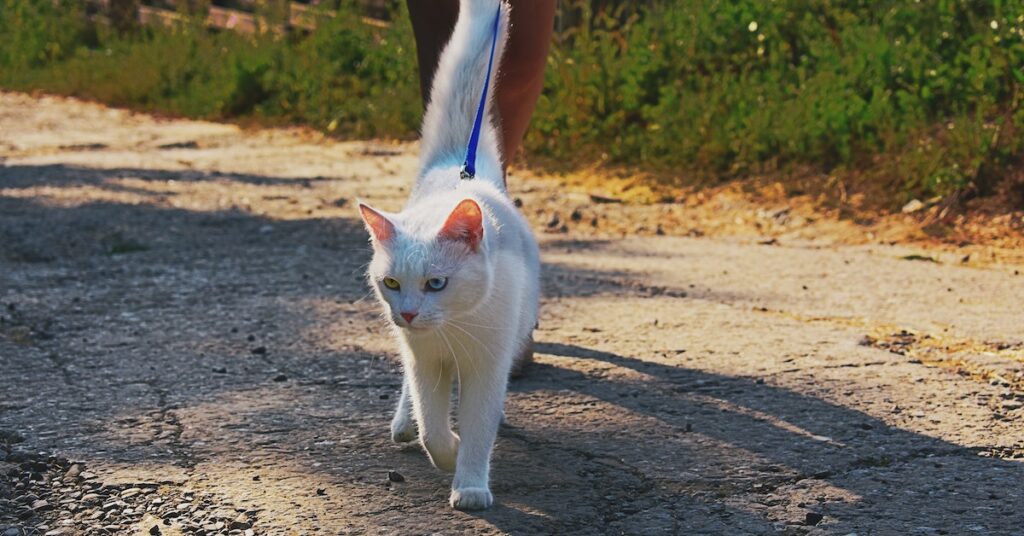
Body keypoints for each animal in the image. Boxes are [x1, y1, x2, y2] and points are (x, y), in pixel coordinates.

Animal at [356, 0, 540, 512]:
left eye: (437, 282)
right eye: (392, 283)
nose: (408, 313)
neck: (453, 328)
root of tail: (457, 168)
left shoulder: (486, 368)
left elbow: (479, 428)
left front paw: (471, 484)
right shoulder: (426, 364)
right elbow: (433, 426)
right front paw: (447, 451)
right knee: (411, 397)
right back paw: (403, 422)